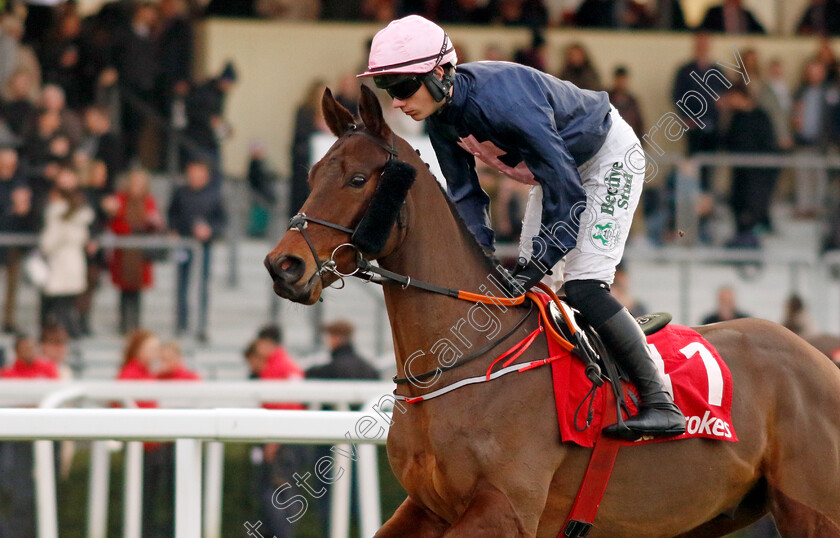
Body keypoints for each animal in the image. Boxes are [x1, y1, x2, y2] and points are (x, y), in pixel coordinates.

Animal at [266, 86, 840, 532]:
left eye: (357, 179)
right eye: (312, 173)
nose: (283, 265)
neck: (465, 358)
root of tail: (819, 358)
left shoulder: (504, 511)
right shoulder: (426, 508)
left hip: (811, 511)